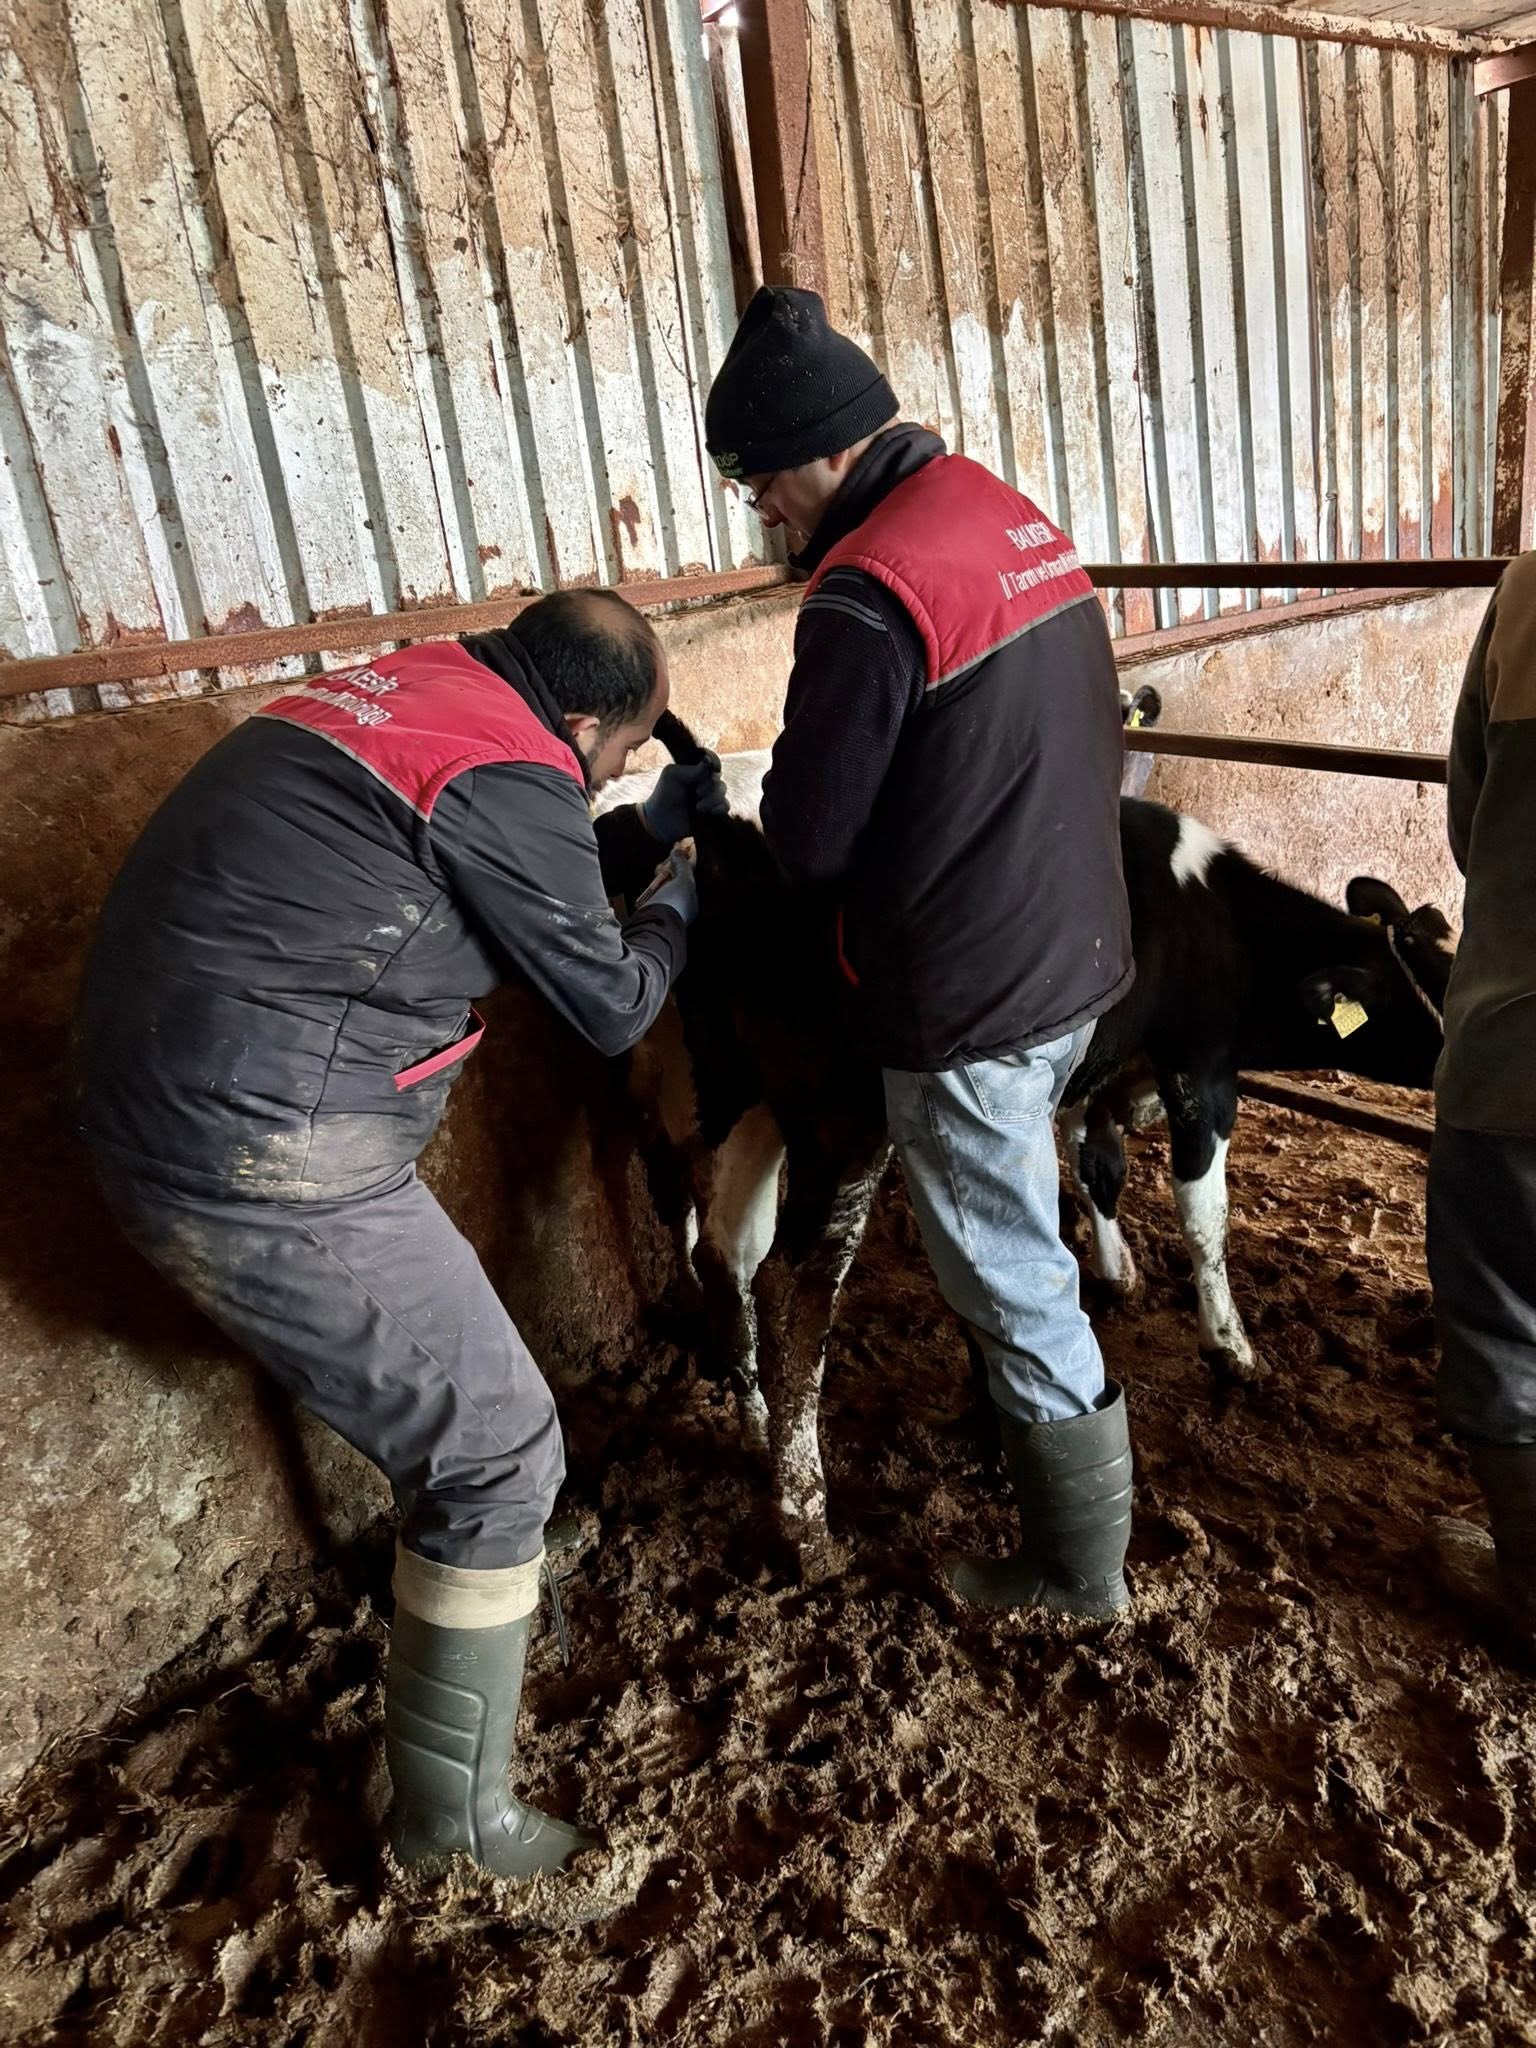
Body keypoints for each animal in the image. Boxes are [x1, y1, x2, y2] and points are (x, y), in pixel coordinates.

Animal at [600, 715, 1452, 1551]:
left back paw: (754, 1426)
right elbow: (1204, 1217)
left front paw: (1115, 1269)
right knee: (791, 1282)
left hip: (738, 1096)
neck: (1220, 922)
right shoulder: (1199, 1068)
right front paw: (1231, 1345)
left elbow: (1097, 1170)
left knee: (727, 1250)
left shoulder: (1089, 1072)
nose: (1459, 1051)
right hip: (837, 1119)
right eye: (1423, 990)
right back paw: (804, 1511)